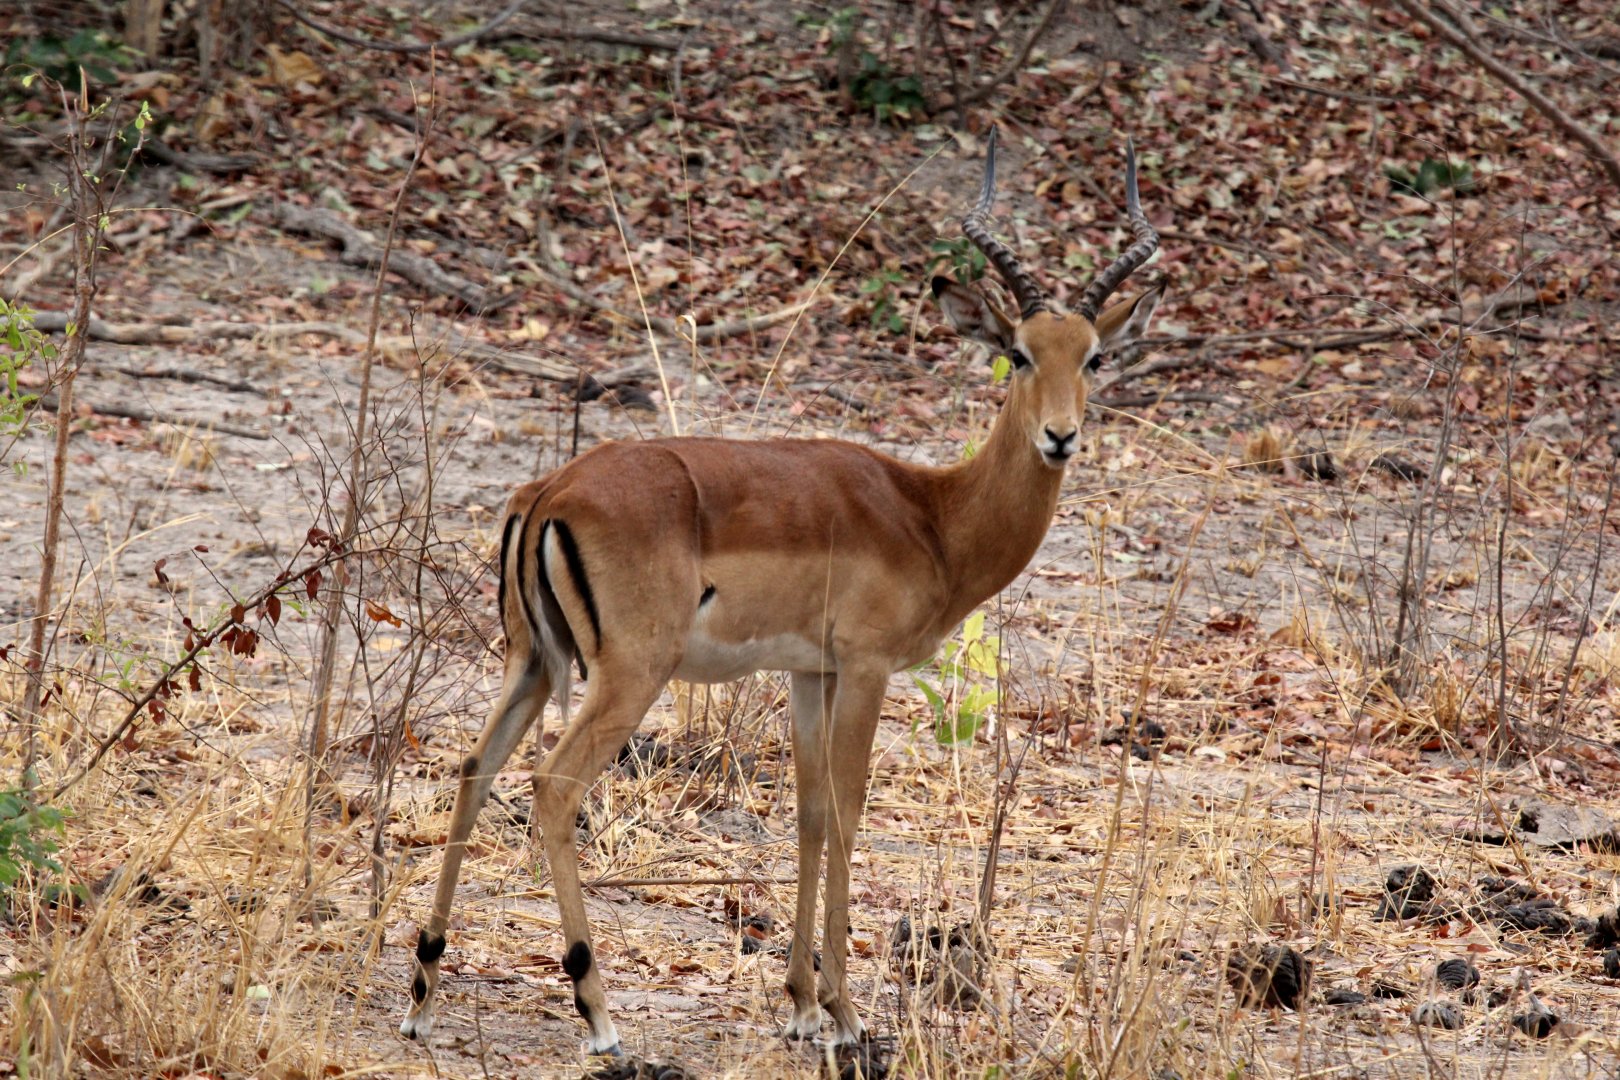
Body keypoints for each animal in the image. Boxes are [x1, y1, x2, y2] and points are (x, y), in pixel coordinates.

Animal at [400, 127, 1162, 1054]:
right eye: (1018, 352)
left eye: (1094, 356)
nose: (1061, 436)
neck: (930, 515)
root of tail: (550, 492)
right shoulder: (865, 669)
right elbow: (848, 810)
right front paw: (842, 1012)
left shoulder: (810, 672)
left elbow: (806, 814)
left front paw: (799, 1000)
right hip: (628, 673)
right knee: (552, 784)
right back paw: (597, 1010)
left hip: (532, 662)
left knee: (475, 769)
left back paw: (424, 991)